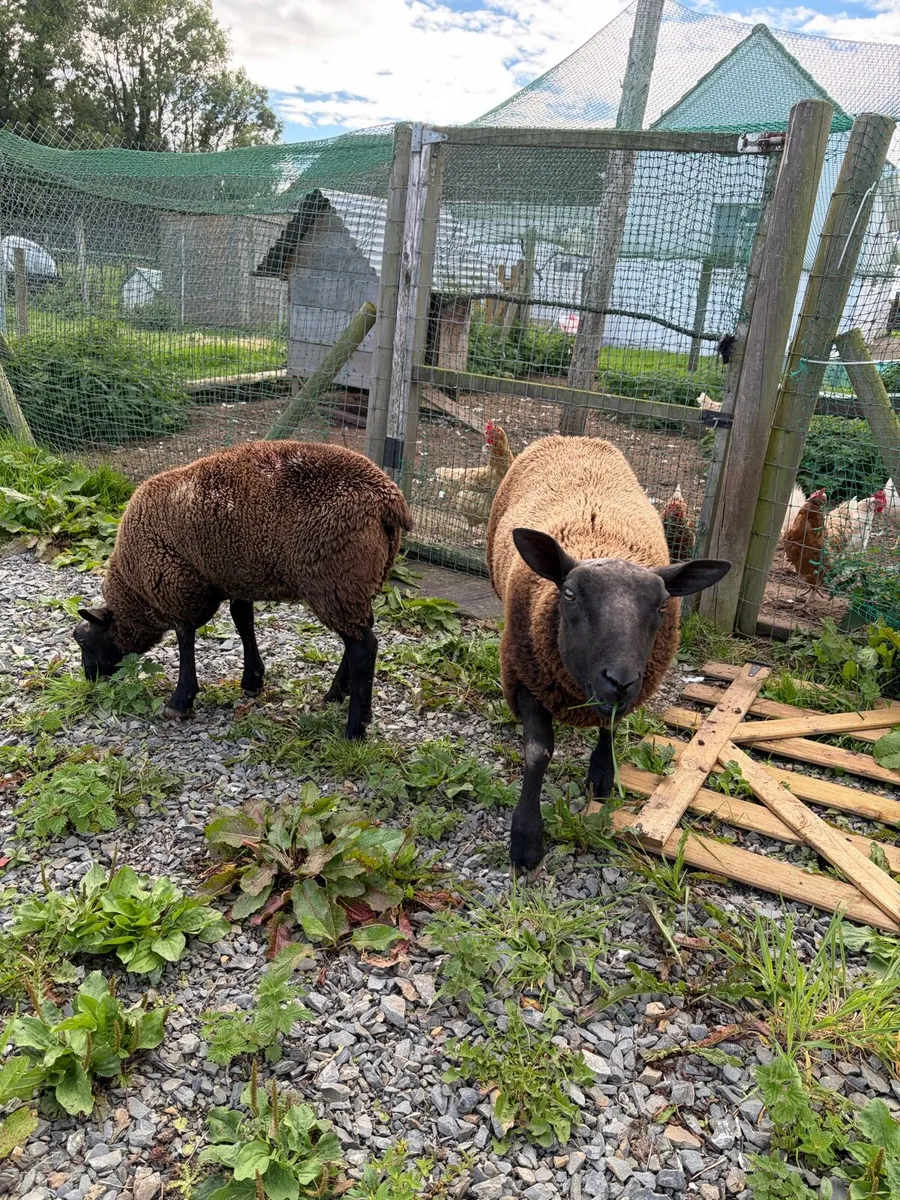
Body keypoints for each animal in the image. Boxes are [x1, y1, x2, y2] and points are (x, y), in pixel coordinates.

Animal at [73, 440, 412, 740]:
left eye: (84, 641)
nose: (89, 680)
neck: (136, 592)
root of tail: (388, 500)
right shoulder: (236, 576)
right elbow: (242, 620)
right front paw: (252, 678)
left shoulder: (177, 585)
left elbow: (186, 637)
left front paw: (181, 700)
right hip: (353, 583)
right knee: (357, 639)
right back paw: (336, 697)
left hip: (333, 578)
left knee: (363, 648)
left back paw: (354, 729)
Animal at [485, 436, 731, 872]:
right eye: (569, 595)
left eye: (663, 604)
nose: (619, 680)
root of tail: (572, 437)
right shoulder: (525, 676)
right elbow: (537, 753)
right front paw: (526, 839)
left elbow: (612, 727)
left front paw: (601, 775)